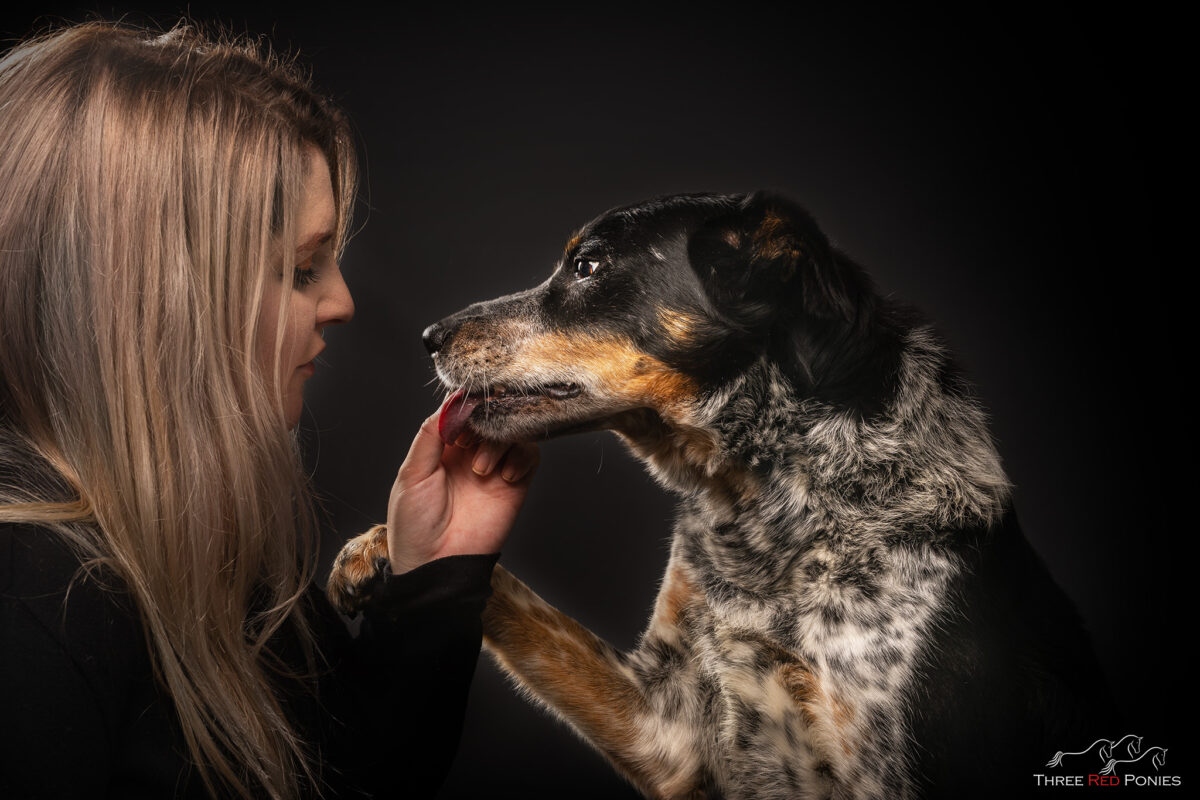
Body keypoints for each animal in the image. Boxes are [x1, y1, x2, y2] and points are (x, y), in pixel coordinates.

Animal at [326, 194, 1104, 800]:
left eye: (588, 266)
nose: (429, 336)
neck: (767, 510)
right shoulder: (664, 726)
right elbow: (508, 593)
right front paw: (378, 549)